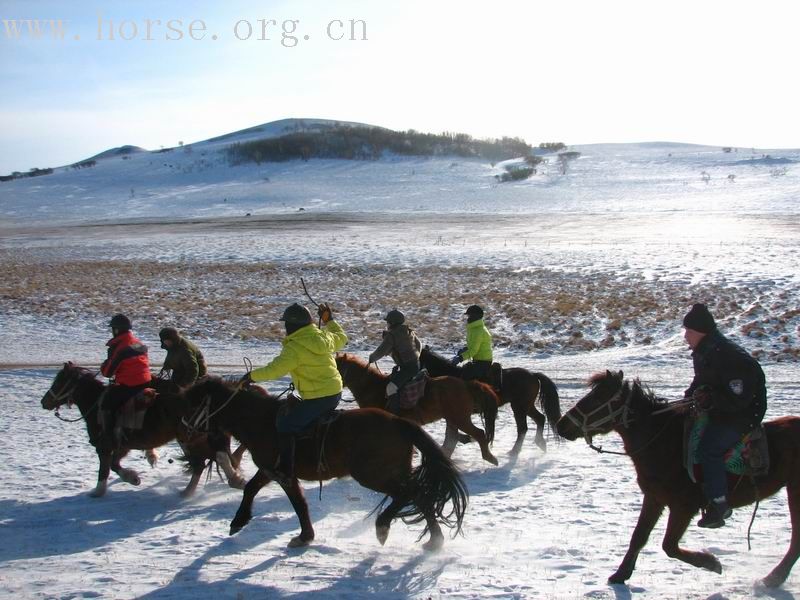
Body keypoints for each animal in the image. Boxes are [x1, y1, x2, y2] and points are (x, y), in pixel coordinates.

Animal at [39, 364, 247, 500]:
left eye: (59, 381)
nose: (44, 402)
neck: (96, 404)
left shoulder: (104, 446)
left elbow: (106, 468)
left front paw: (101, 490)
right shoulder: (123, 446)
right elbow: (114, 464)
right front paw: (132, 477)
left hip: (191, 439)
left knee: (208, 460)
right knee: (207, 461)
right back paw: (194, 490)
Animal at [181, 378, 468, 552]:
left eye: (194, 405)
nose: (185, 431)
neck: (262, 422)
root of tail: (399, 423)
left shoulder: (283, 474)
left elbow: (298, 503)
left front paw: (304, 536)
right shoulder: (270, 470)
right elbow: (252, 488)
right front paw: (239, 520)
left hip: (374, 475)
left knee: (410, 493)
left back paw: (383, 526)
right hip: (394, 472)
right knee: (421, 496)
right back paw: (434, 540)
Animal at [338, 354, 500, 466]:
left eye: (337, 367)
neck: (373, 387)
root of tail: (466, 384)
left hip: (460, 419)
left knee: (478, 433)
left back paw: (489, 457)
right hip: (453, 419)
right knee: (452, 439)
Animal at [418, 346, 564, 454]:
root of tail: (533, 375)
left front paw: (467, 438)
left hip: (519, 407)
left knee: (523, 428)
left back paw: (514, 451)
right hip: (526, 406)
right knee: (540, 418)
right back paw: (540, 443)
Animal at [556, 368, 800, 588]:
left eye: (598, 397)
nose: (561, 425)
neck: (664, 443)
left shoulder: (683, 507)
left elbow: (669, 546)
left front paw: (711, 562)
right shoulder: (654, 499)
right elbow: (639, 536)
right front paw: (620, 575)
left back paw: (772, 579)